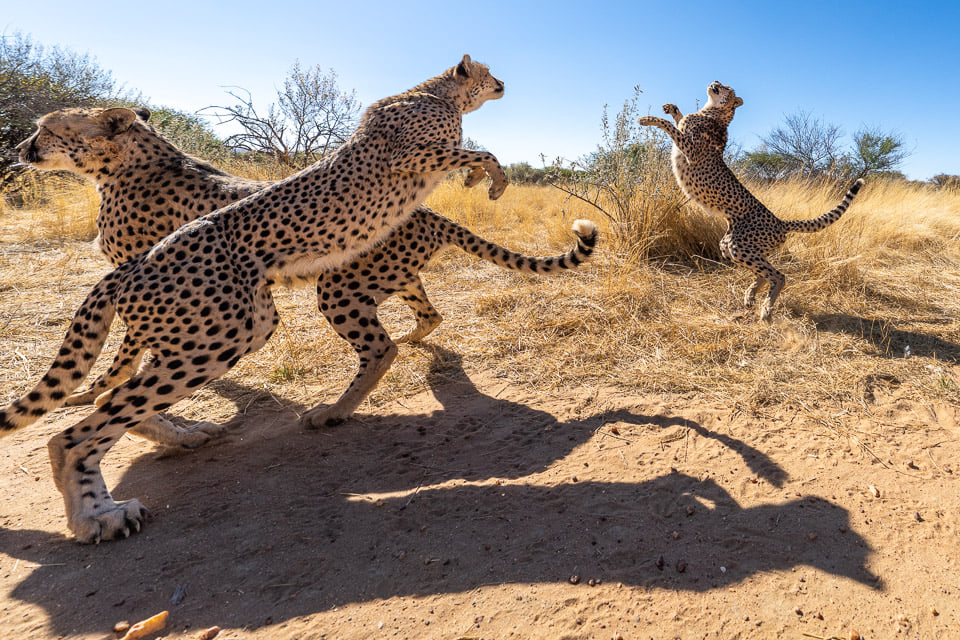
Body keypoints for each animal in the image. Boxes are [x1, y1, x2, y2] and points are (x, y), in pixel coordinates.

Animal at [0, 55, 510, 544]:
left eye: (46, 129)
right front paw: (487, 178)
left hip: (246, 323)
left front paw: (485, 179)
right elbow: (480, 151)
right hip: (235, 325)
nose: (23, 149)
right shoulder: (412, 156)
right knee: (95, 420)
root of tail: (143, 261)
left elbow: (479, 151)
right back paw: (101, 511)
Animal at [16, 105, 592, 436]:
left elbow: (124, 352)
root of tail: (428, 211)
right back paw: (413, 341)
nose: (21, 147)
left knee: (380, 348)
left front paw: (97, 389)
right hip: (388, 276)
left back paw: (334, 410)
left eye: (47, 129)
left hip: (338, 287)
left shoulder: (138, 275)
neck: (126, 164)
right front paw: (102, 390)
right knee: (428, 315)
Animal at [636, 81, 864, 320]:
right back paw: (750, 296)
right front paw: (671, 108)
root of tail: (780, 221)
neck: (715, 111)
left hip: (740, 245)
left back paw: (766, 310)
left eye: (726, 87)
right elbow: (678, 120)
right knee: (764, 273)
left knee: (778, 275)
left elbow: (671, 128)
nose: (715, 82)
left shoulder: (692, 150)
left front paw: (647, 119)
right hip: (730, 246)